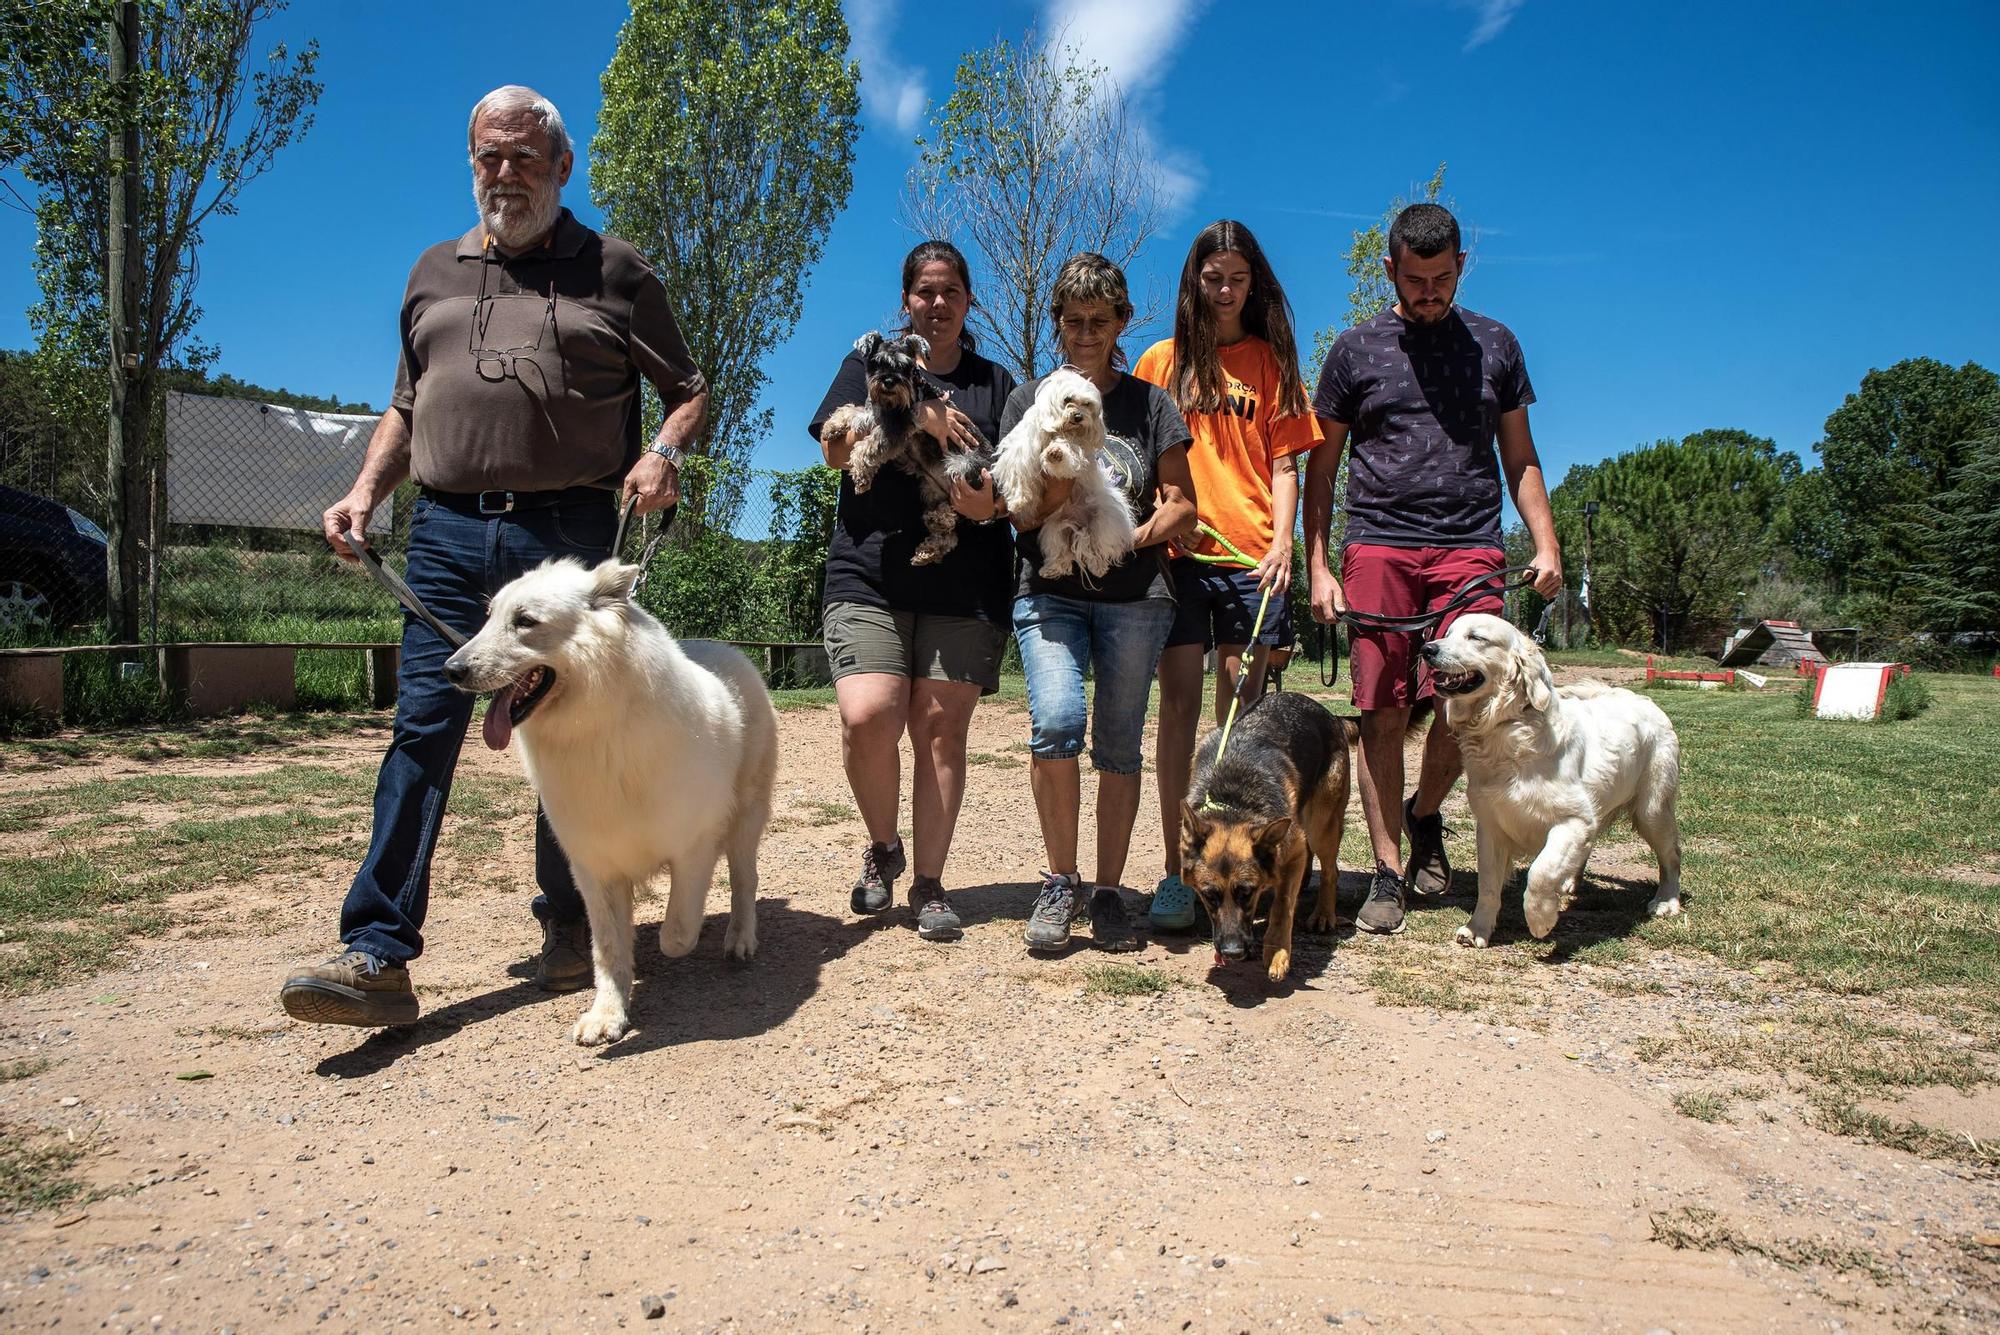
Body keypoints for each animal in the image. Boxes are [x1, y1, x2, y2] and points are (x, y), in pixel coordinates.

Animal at [442, 559, 776, 1047]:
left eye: (525, 621)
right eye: (488, 616)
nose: (451, 669)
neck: (596, 730)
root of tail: (728, 649)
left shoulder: (692, 848)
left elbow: (678, 932)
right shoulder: (593, 869)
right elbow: (609, 949)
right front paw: (607, 1016)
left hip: (747, 820)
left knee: (744, 881)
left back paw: (740, 941)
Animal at [992, 365, 1136, 579]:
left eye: (1087, 404)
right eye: (1068, 399)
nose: (1078, 416)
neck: (1059, 429)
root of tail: (1079, 523)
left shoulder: (1076, 450)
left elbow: (1066, 451)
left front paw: (1055, 452)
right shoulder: (1021, 454)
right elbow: (1020, 477)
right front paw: (1019, 502)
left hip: (1104, 520)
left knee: (1097, 547)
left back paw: (1098, 566)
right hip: (1054, 529)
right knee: (1063, 552)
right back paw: (1052, 569)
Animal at [1176, 687, 1352, 979]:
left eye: (1247, 893)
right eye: (1209, 895)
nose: (1232, 952)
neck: (1233, 801)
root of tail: (1330, 715)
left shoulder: (1293, 851)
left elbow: (1282, 905)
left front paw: (1277, 953)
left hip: (1320, 826)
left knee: (1331, 871)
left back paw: (1324, 914)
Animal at [1424, 615, 1688, 947]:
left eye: (1476, 637)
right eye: (1447, 633)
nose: (1427, 649)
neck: (1507, 730)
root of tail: (1643, 698)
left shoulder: (1573, 819)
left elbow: (1540, 872)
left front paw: (1541, 920)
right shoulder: (1491, 826)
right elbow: (1488, 885)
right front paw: (1478, 929)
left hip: (1652, 809)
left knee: (1672, 856)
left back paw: (1667, 900)